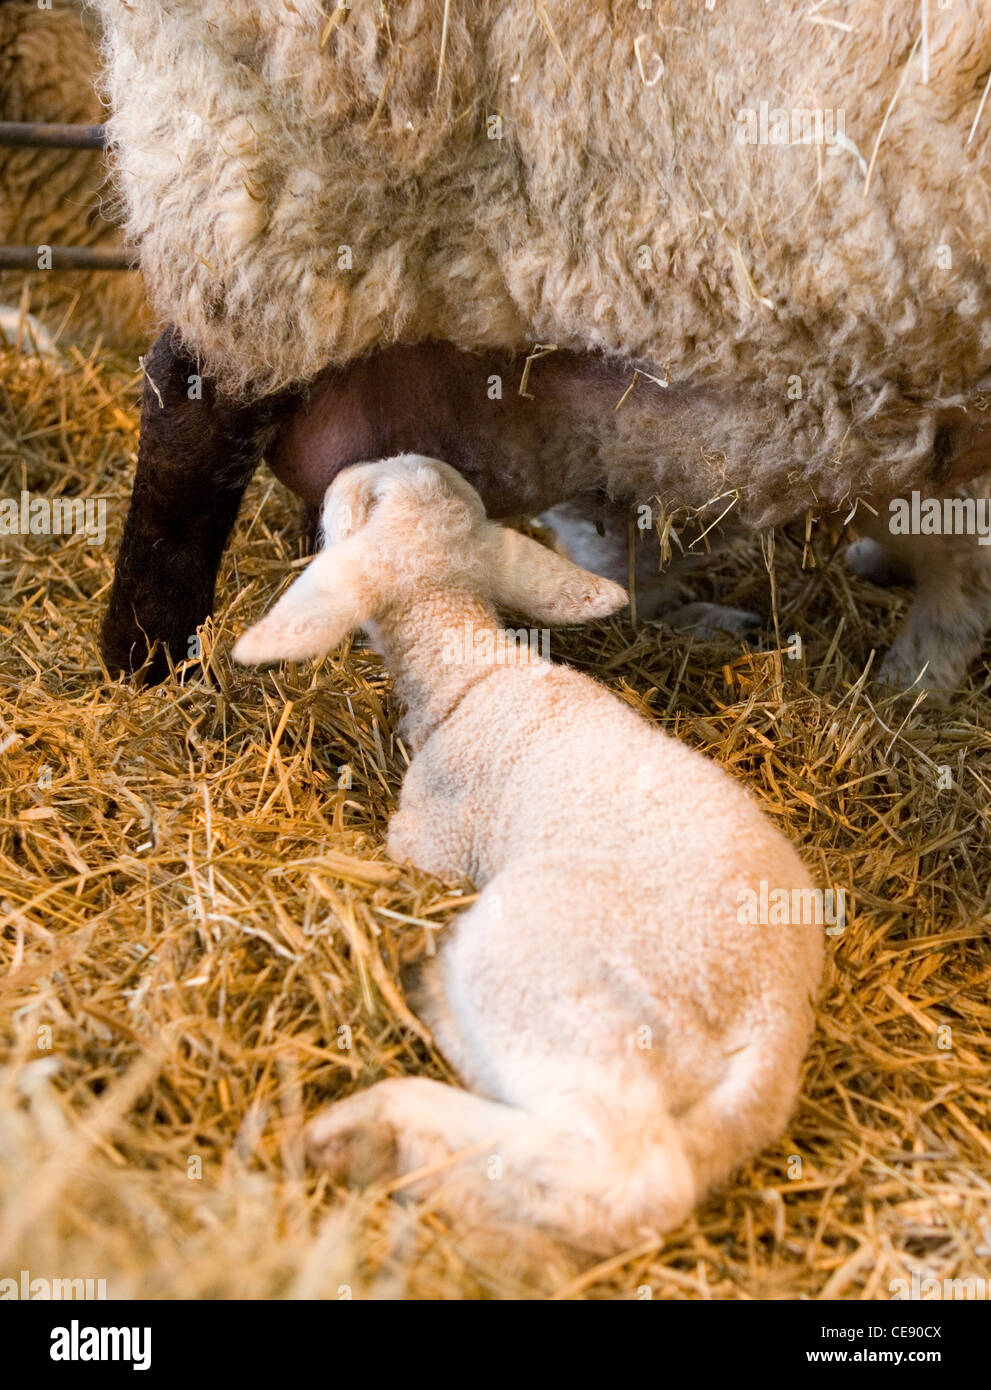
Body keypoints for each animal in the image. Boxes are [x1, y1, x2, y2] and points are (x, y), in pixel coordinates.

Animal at [233, 454, 824, 1252]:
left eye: (368, 499)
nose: (338, 474)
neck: (473, 675)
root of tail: (771, 1022)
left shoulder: (431, 840)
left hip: (541, 980)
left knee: (625, 1173)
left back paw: (377, 1126)